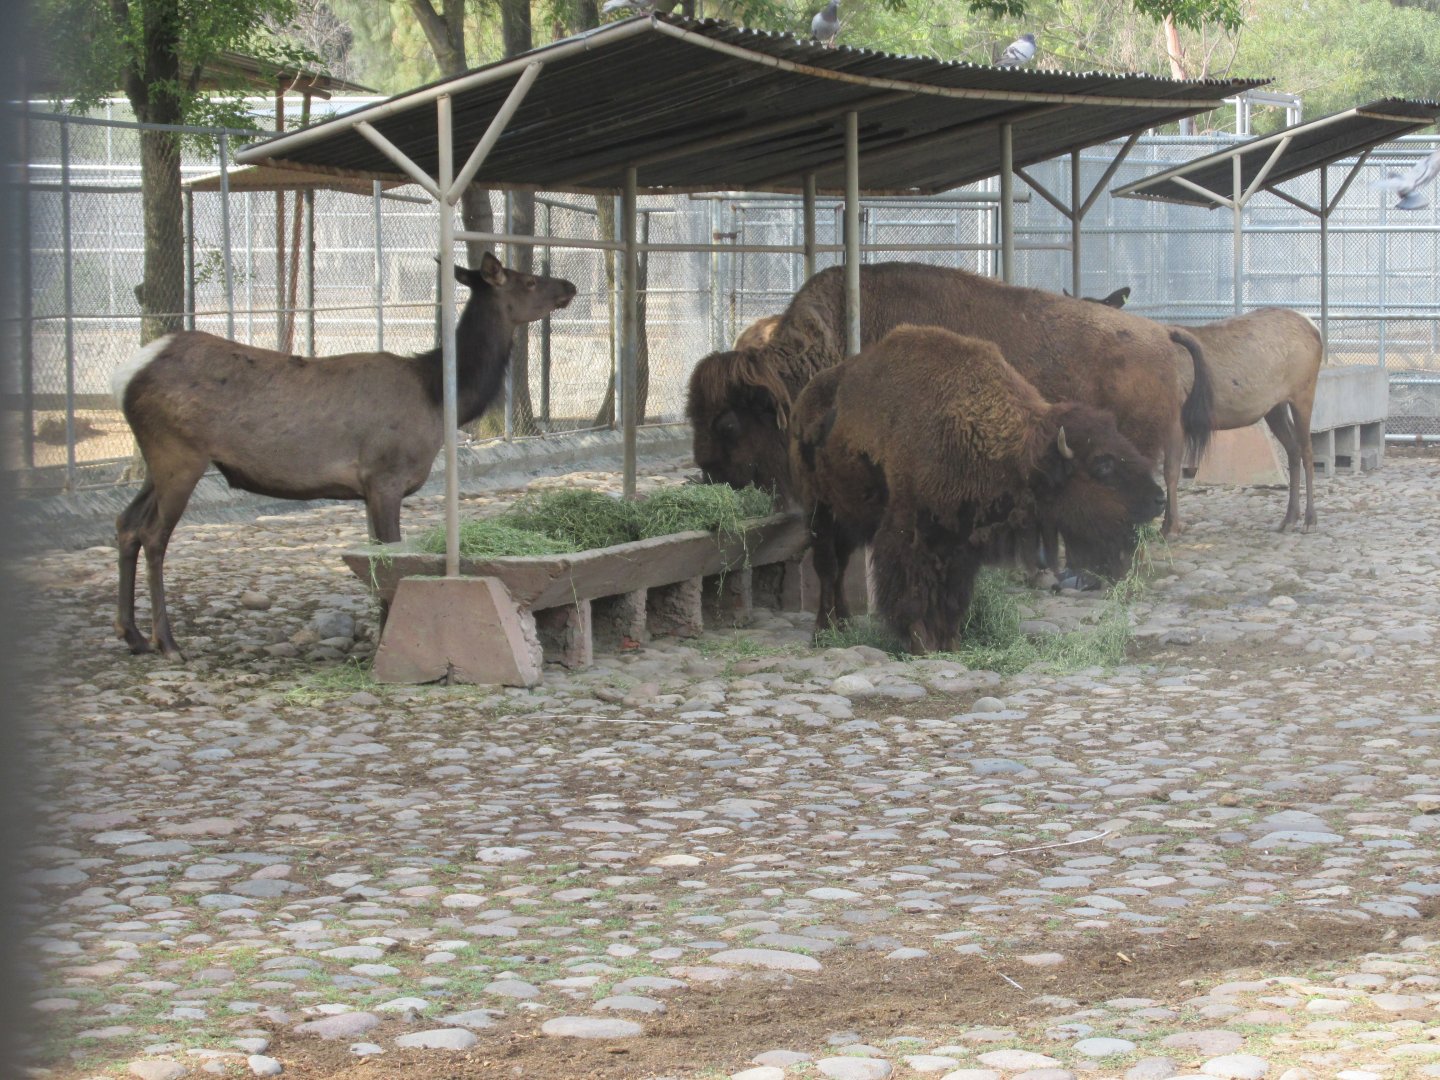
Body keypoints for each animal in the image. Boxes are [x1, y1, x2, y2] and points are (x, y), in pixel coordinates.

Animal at [111, 252, 576, 658]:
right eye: (528, 280)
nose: (569, 285)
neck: (441, 398)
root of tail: (128, 373)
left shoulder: (367, 488)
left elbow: (375, 559)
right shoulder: (386, 476)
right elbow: (389, 555)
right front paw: (391, 635)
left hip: (157, 460)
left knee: (126, 523)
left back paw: (132, 635)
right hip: (179, 453)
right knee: (153, 534)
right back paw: (167, 642)